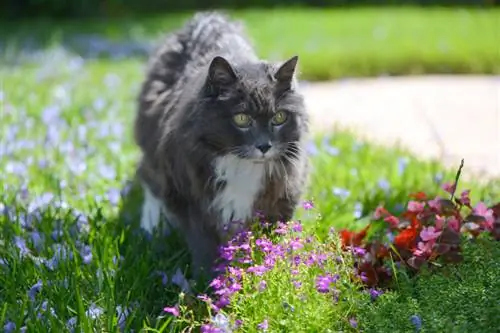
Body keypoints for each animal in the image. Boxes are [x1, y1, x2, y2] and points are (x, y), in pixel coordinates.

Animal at [135, 11, 310, 274]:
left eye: (279, 117)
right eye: (242, 119)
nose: (264, 146)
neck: (241, 164)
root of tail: (207, 18)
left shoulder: (281, 198)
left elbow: (266, 243)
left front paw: (262, 274)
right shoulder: (192, 202)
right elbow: (205, 251)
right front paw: (209, 282)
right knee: (149, 181)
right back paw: (151, 227)